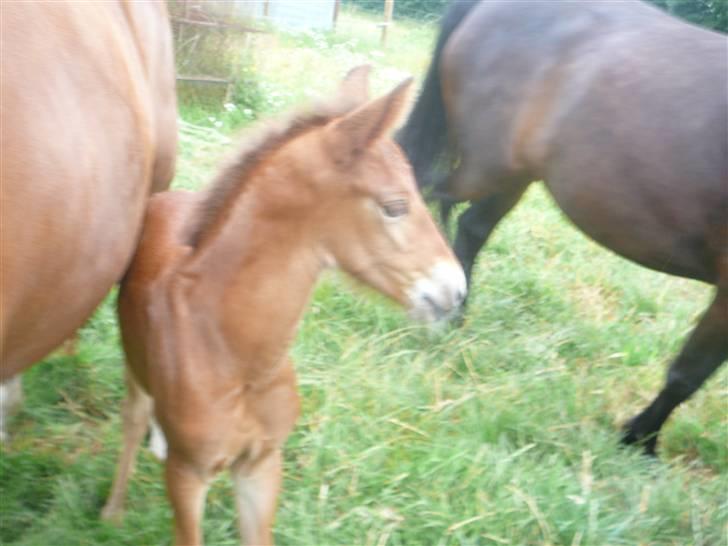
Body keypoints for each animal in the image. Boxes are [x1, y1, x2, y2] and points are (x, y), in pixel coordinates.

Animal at [101, 68, 466, 544]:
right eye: (394, 206)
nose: (455, 289)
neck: (235, 355)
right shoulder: (188, 475)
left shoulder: (262, 464)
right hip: (134, 364)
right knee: (133, 417)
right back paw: (113, 509)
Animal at [398, 0, 728, 452]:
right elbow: (689, 373)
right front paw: (638, 441)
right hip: (487, 167)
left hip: (514, 174)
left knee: (470, 226)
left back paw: (456, 315)